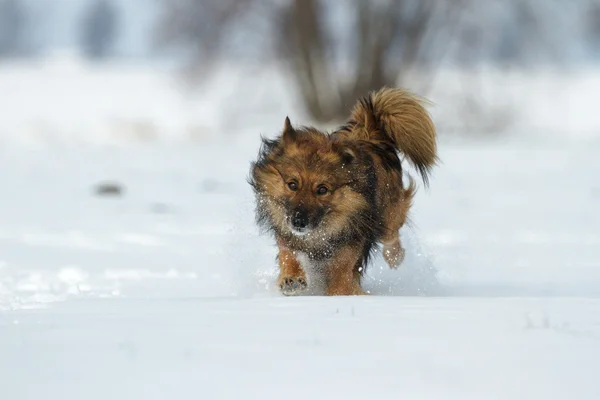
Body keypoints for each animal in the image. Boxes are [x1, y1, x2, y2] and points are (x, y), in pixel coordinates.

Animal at [247, 86, 436, 296]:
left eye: (322, 189)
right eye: (292, 184)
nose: (298, 222)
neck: (320, 233)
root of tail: (370, 132)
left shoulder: (352, 238)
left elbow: (342, 272)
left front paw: (340, 293)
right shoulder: (285, 229)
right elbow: (287, 252)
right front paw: (292, 277)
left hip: (389, 215)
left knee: (391, 236)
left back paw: (395, 256)